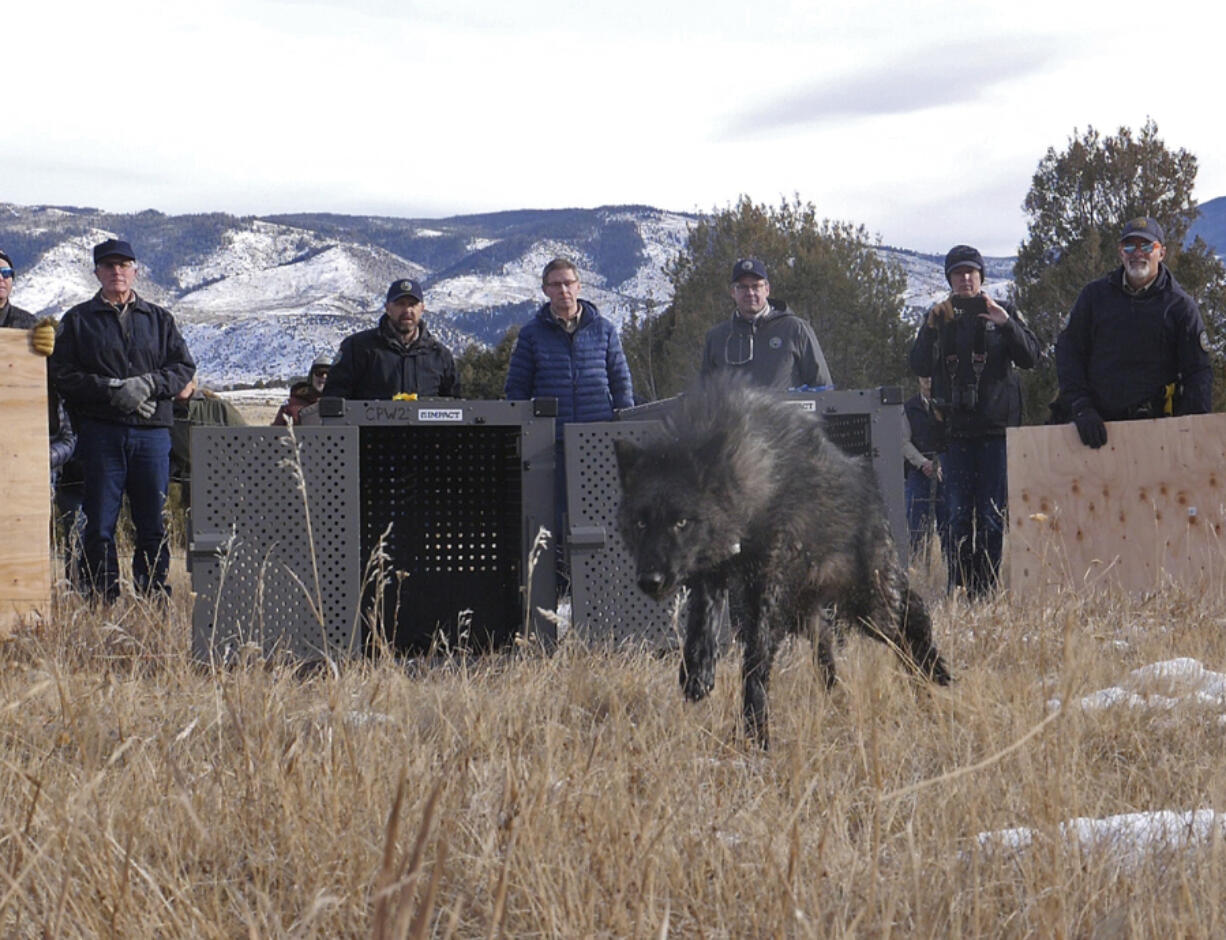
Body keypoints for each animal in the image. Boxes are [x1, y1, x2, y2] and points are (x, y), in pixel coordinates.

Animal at [617, 377, 951, 745]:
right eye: (641, 523)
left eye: (681, 522)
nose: (651, 581)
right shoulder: (713, 573)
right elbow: (702, 624)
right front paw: (698, 672)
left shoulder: (766, 589)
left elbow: (755, 660)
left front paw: (755, 732)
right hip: (813, 613)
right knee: (829, 646)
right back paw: (841, 697)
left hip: (868, 606)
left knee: (912, 618)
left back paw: (934, 672)